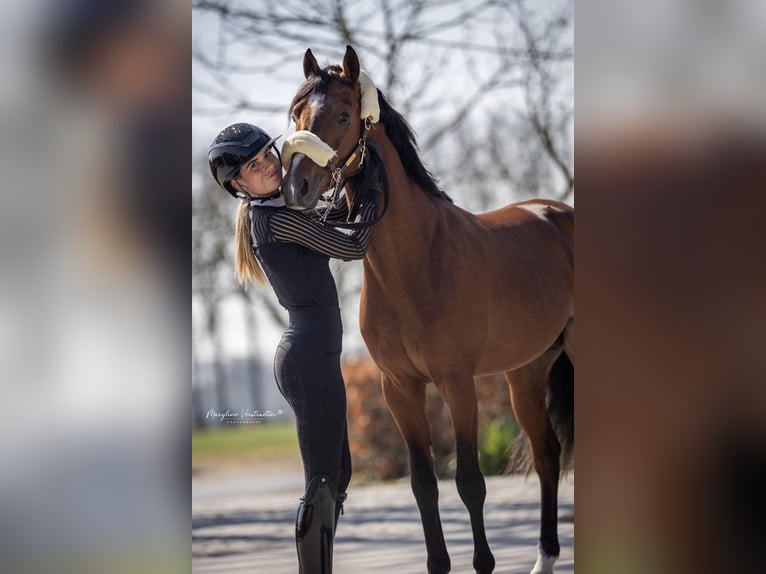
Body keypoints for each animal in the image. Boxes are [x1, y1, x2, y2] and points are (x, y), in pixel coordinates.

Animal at [281, 45, 574, 574]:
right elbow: (423, 485)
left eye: (343, 115)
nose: (298, 186)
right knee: (547, 454)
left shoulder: (457, 384)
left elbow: (470, 482)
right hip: (527, 372)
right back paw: (544, 558)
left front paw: (483, 563)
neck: (417, 262)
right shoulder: (400, 389)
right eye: (297, 114)